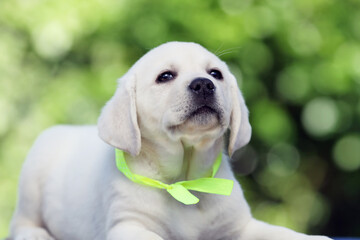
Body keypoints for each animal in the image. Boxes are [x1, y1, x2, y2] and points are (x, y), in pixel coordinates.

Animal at [7, 42, 332, 239]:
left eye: (215, 73)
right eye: (165, 76)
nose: (204, 84)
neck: (183, 180)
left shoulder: (240, 227)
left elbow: (282, 233)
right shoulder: (128, 226)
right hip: (32, 182)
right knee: (20, 222)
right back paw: (35, 233)